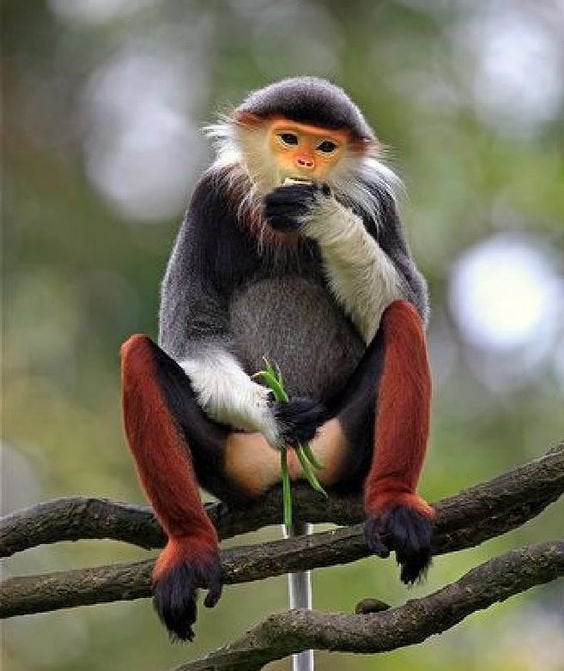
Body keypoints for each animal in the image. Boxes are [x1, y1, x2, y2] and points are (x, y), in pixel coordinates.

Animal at [121, 76, 434, 645]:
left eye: (326, 146)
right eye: (289, 138)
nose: (306, 164)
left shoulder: (377, 203)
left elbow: (412, 307)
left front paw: (323, 216)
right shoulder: (208, 199)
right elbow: (190, 336)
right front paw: (275, 413)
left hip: (342, 446)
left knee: (400, 318)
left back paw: (395, 503)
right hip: (232, 460)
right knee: (136, 353)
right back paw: (189, 549)